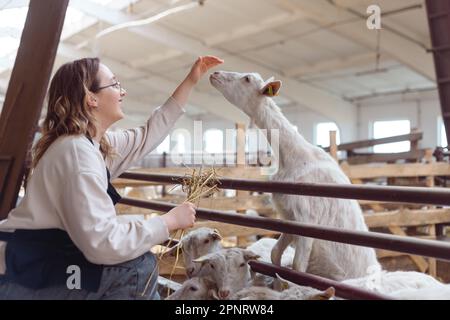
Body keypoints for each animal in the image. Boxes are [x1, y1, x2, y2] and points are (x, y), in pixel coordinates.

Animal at [211, 70, 380, 280]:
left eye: (247, 79)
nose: (214, 73)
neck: (293, 156)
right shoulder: (290, 217)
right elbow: (275, 254)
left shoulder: (306, 220)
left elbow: (298, 267)